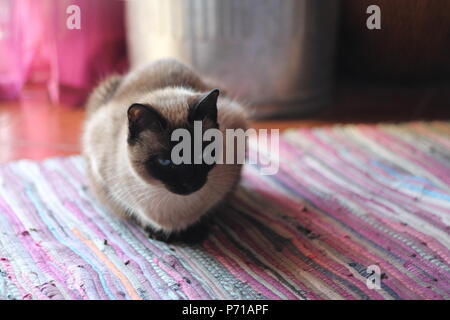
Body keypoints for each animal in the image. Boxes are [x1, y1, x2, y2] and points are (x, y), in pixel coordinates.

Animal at [81, 58, 250, 242]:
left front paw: (196, 231)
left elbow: (210, 209)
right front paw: (156, 231)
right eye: (165, 161)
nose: (190, 184)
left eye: (202, 154)